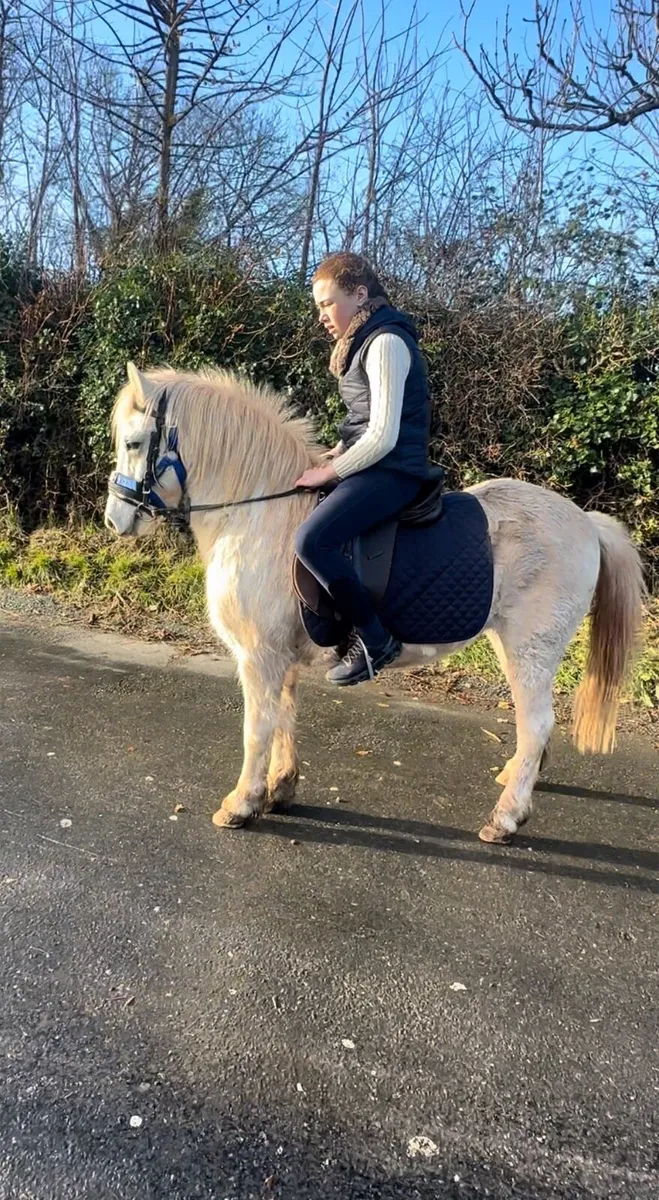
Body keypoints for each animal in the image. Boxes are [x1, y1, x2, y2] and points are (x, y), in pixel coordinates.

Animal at [104, 362, 645, 843]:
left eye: (133, 443)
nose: (114, 520)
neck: (260, 514)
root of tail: (585, 521)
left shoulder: (259, 656)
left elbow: (257, 727)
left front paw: (242, 803)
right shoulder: (282, 656)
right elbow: (284, 719)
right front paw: (280, 789)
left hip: (530, 649)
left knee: (536, 723)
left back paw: (506, 818)